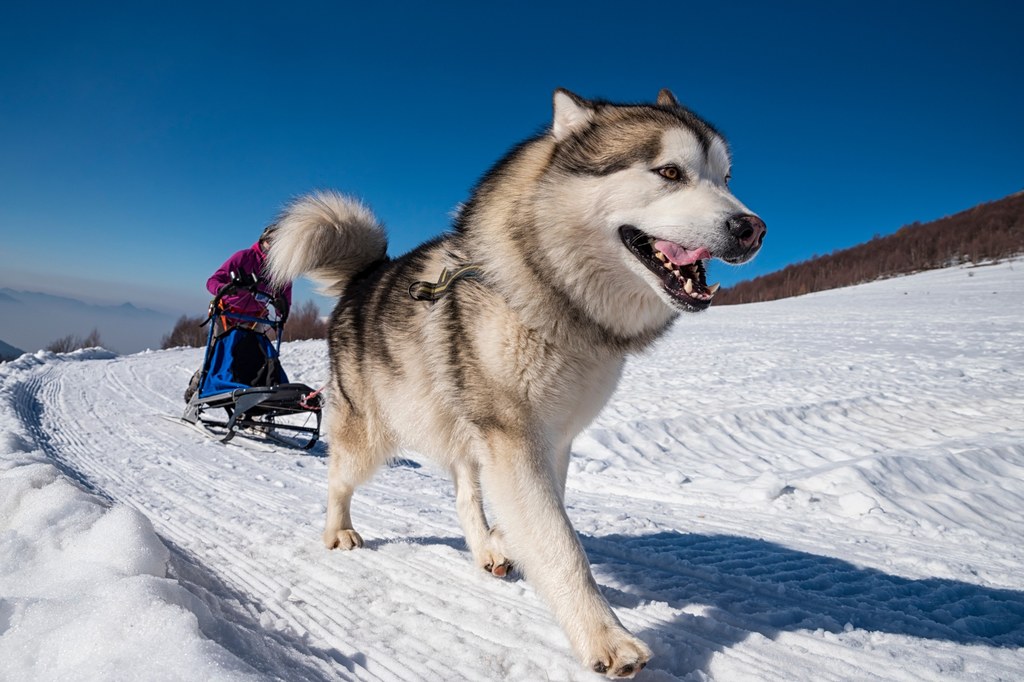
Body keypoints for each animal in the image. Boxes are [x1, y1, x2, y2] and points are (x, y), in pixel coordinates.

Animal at [268, 89, 765, 675]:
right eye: (669, 171)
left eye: (726, 178)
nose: (752, 228)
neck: (554, 303)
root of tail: (367, 276)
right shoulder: (512, 435)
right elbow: (560, 542)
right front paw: (605, 637)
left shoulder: (550, 438)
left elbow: (540, 509)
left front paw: (506, 541)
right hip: (370, 436)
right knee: (339, 480)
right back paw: (339, 531)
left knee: (465, 493)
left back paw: (487, 548)